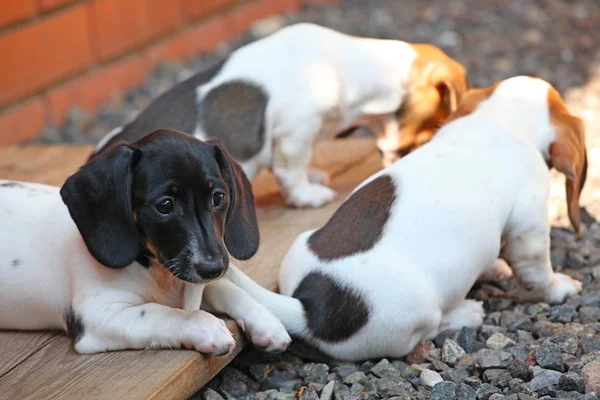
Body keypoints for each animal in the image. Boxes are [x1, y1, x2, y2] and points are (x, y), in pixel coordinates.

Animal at [0, 130, 290, 354]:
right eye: (165, 205)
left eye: (218, 197)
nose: (213, 267)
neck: (153, 269)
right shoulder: (99, 315)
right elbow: (160, 313)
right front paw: (204, 326)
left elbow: (227, 290)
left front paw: (265, 319)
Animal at [223, 76, 584, 360]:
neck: (500, 119)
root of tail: (309, 307)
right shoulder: (530, 226)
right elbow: (538, 272)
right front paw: (559, 289)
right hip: (420, 314)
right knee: (429, 330)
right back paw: (466, 313)